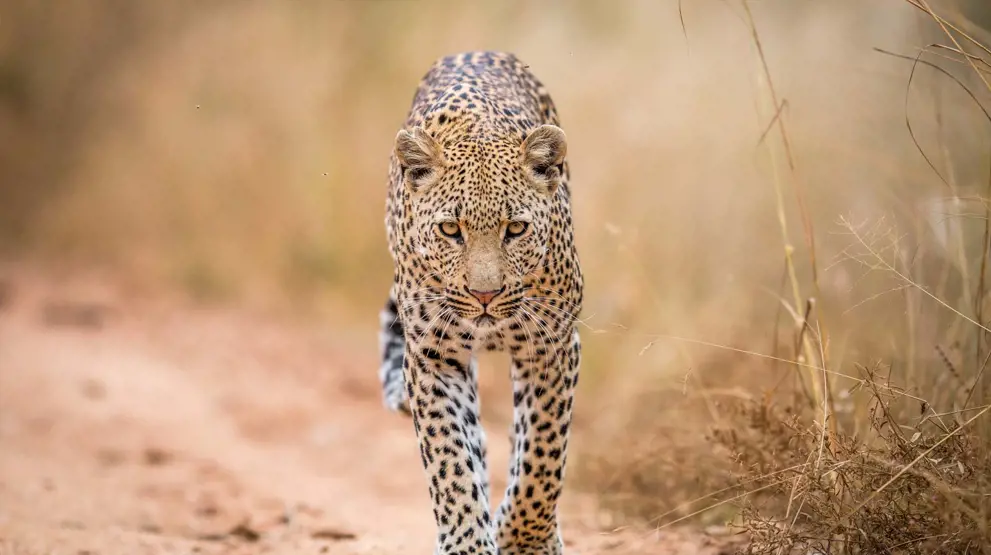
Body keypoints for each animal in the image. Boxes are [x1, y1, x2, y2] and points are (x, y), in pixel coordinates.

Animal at [378, 50, 584, 552]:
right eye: (451, 230)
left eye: (517, 229)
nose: (485, 294)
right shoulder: (433, 356)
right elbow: (450, 460)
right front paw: (469, 542)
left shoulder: (551, 348)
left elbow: (542, 456)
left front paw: (525, 539)